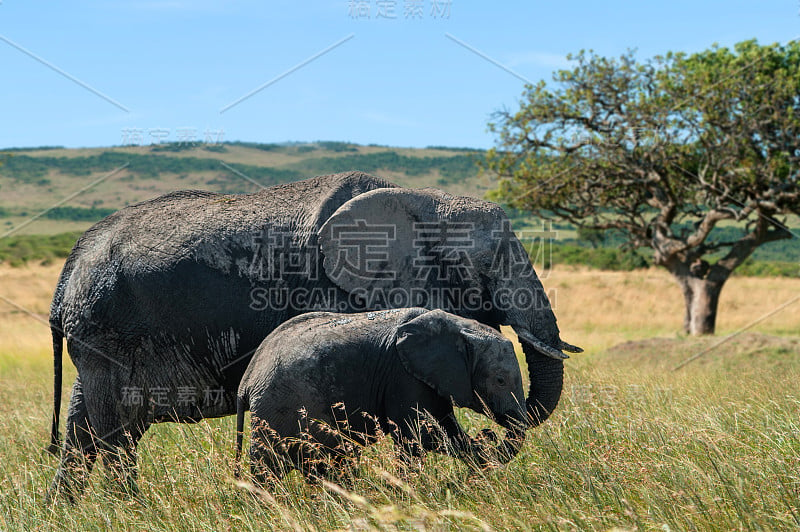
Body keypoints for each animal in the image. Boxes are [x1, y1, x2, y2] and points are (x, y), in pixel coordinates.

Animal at [234, 306, 528, 484]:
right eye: (500, 380)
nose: (490, 433)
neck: (458, 326)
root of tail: (246, 381)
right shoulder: (403, 375)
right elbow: (423, 435)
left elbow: (443, 428)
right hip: (279, 409)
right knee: (272, 467)